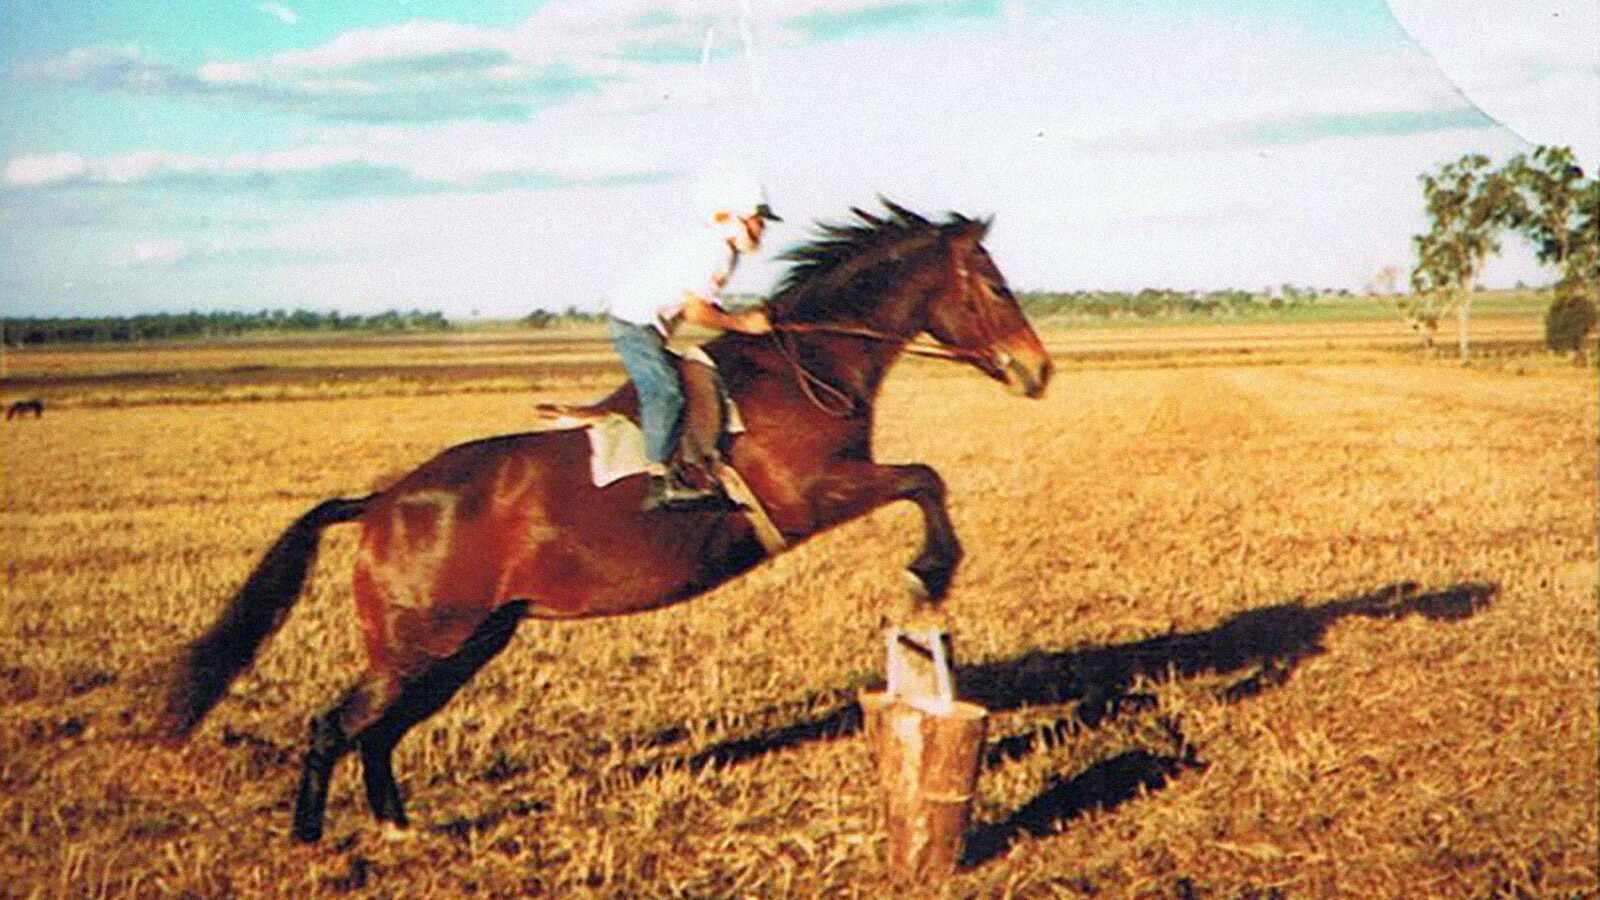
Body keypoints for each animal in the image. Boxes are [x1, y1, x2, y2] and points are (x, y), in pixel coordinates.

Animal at [159, 200, 1054, 843]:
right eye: (995, 286)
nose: (1038, 370)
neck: (806, 365)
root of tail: (383, 502)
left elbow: (923, 480)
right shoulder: (813, 494)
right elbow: (924, 479)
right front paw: (929, 572)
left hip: (466, 642)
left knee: (377, 734)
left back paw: (398, 828)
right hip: (422, 643)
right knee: (334, 726)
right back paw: (313, 840)